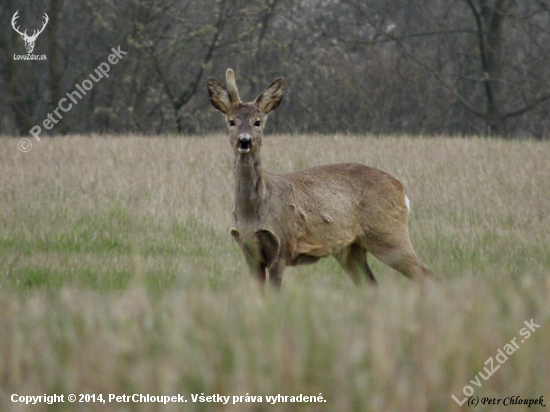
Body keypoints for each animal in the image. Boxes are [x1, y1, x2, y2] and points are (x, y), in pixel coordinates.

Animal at [208, 69, 440, 290]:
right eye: (231, 122)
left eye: (257, 122)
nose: (244, 141)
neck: (254, 211)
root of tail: (402, 190)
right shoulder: (249, 252)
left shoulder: (283, 245)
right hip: (350, 248)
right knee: (372, 284)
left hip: (387, 232)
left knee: (428, 275)